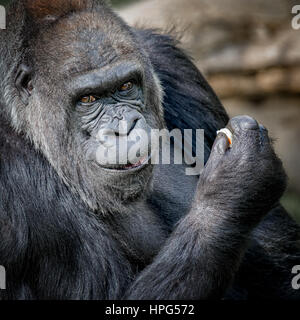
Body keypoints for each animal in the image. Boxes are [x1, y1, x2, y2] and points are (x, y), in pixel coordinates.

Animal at [0, 0, 298, 300]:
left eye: (126, 86)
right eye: (88, 99)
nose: (124, 127)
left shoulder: (172, 64)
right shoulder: (12, 174)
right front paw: (233, 185)